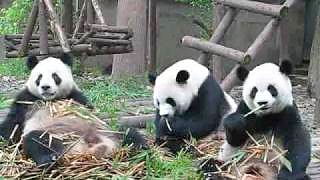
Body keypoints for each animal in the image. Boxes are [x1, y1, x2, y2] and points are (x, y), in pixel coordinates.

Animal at [0, 53, 146, 167]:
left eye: (55, 76)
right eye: (39, 77)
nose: (45, 87)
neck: (50, 100)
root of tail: (89, 146)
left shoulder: (76, 97)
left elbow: (92, 112)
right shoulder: (27, 100)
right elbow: (12, 126)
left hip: (107, 131)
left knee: (125, 131)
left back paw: (141, 146)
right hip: (57, 135)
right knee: (37, 140)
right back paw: (48, 159)